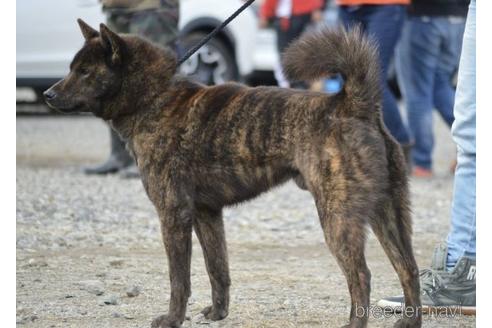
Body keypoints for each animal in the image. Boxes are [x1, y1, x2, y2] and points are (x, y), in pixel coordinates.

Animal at [45, 19, 422, 328]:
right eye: (72, 68)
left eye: (84, 71)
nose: (48, 94)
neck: (153, 98)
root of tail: (352, 103)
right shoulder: (206, 214)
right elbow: (218, 269)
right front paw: (218, 313)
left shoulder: (173, 215)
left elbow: (179, 279)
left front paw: (172, 319)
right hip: (388, 213)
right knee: (408, 267)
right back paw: (409, 321)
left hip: (337, 219)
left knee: (361, 276)